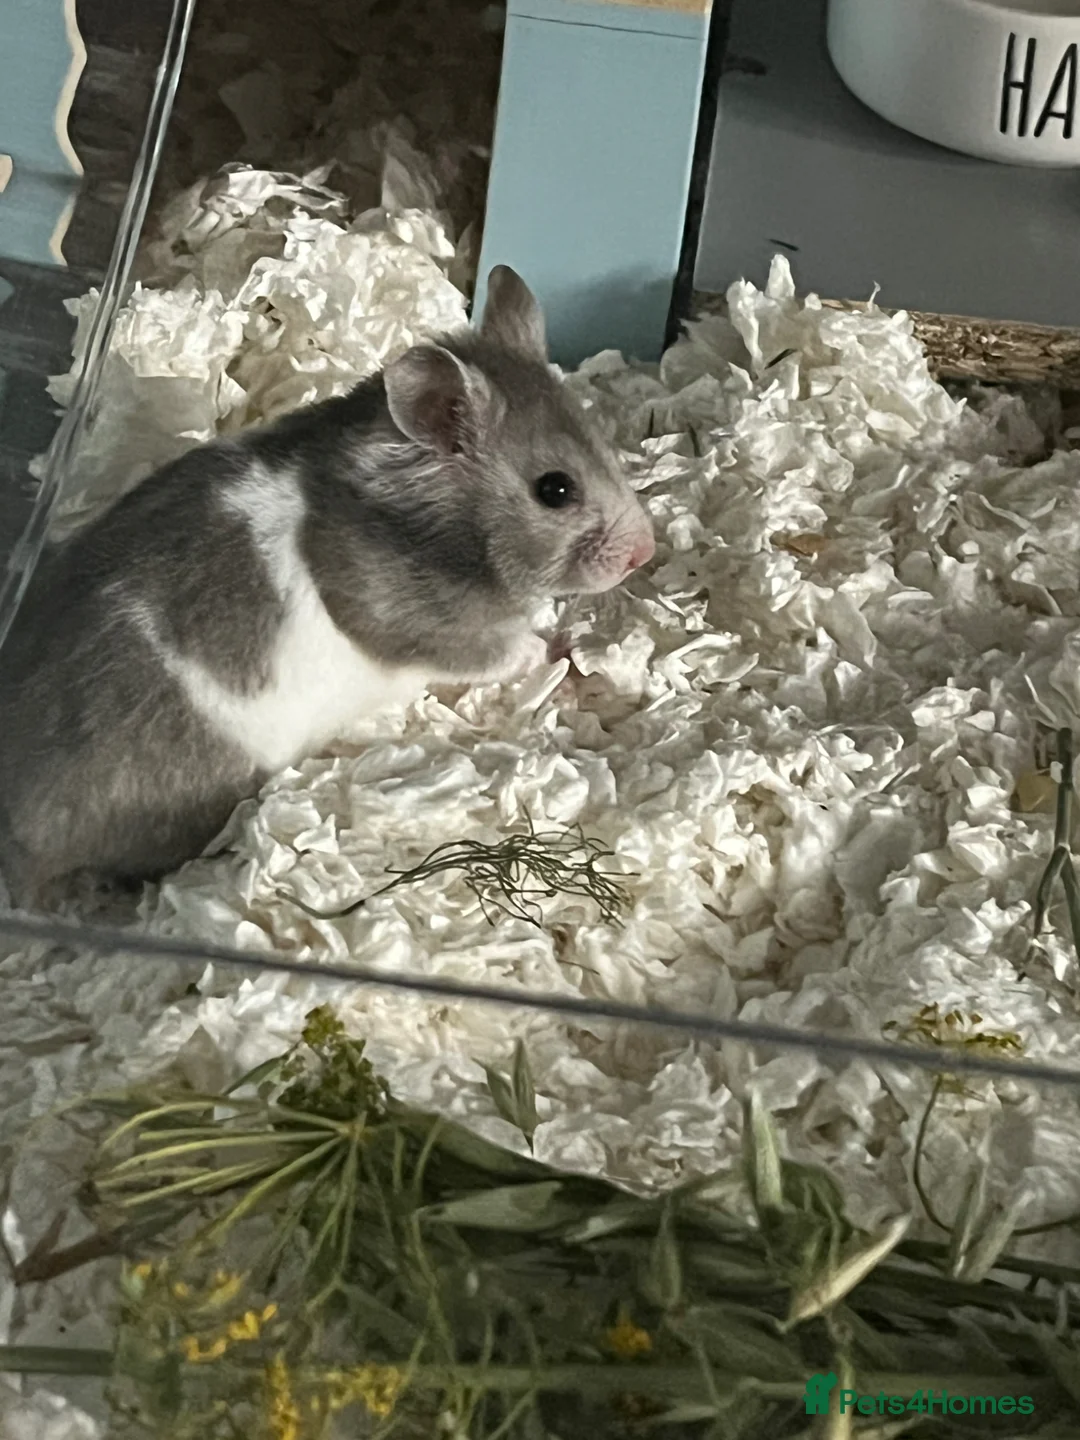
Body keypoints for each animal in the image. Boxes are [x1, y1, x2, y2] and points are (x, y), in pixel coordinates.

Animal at [0, 266, 654, 910]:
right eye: (555, 490)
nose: (645, 552)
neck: (440, 534)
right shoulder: (422, 628)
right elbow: (499, 650)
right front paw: (556, 652)